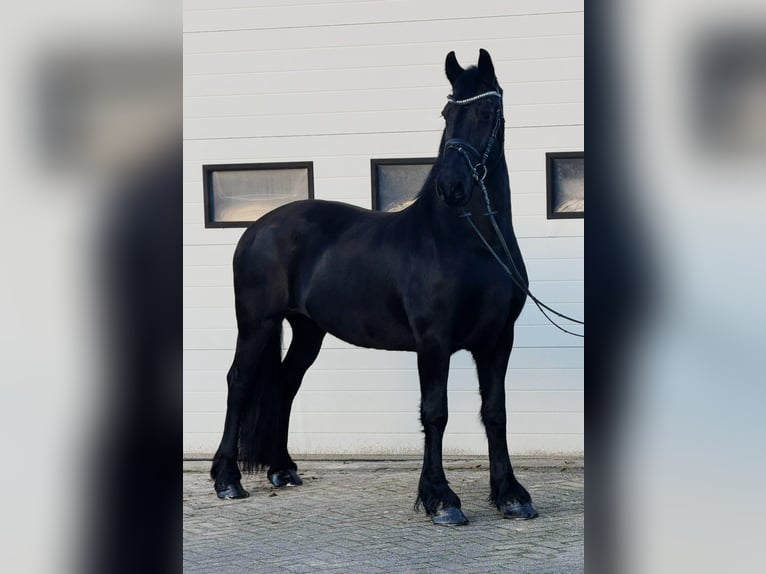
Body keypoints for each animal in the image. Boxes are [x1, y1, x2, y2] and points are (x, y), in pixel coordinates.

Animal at [211, 49, 538, 526]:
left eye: (486, 111)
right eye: (447, 113)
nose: (452, 186)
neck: (468, 241)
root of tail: (256, 228)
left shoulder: (498, 339)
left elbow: (495, 412)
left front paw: (511, 494)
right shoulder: (433, 341)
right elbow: (435, 413)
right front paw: (441, 499)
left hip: (307, 330)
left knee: (286, 382)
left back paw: (282, 469)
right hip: (257, 323)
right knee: (239, 381)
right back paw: (227, 480)